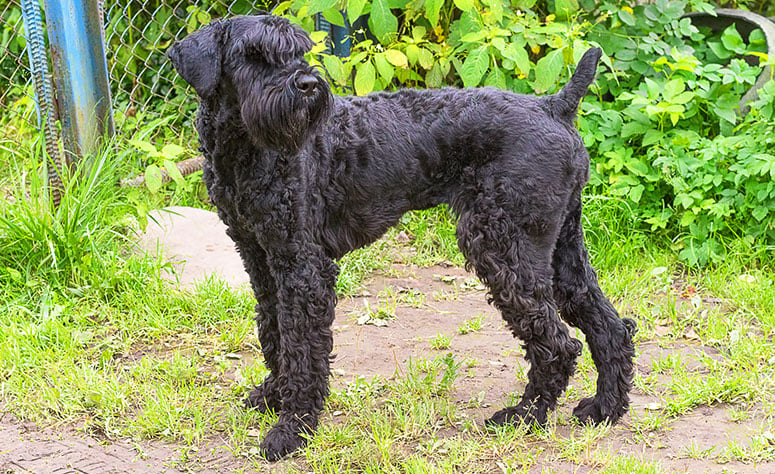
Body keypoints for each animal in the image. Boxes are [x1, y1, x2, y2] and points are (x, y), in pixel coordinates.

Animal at [168, 13, 636, 460]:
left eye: (298, 52)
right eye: (253, 54)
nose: (308, 84)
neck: (245, 148)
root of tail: (555, 106)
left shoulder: (303, 267)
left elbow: (301, 346)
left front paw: (292, 429)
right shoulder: (260, 257)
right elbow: (273, 331)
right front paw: (272, 395)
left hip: (504, 249)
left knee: (558, 343)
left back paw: (525, 415)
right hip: (559, 250)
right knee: (607, 324)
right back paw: (604, 408)